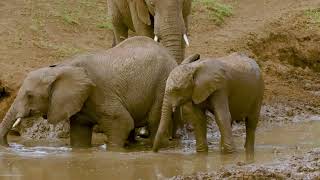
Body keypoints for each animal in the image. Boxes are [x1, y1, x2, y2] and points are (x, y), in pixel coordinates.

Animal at [0, 36, 178, 149]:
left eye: (30, 96)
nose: (10, 146)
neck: (60, 67)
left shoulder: (100, 92)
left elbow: (123, 122)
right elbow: (79, 136)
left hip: (162, 83)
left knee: (155, 121)